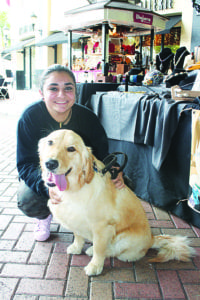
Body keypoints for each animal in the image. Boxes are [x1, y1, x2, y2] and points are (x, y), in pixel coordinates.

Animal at [38, 129, 195, 276]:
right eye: (50, 142)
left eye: (71, 148)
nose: (50, 163)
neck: (77, 187)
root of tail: (151, 239)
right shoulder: (74, 218)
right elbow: (78, 235)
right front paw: (76, 247)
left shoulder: (102, 227)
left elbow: (99, 249)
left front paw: (95, 266)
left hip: (124, 237)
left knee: (115, 251)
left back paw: (93, 251)